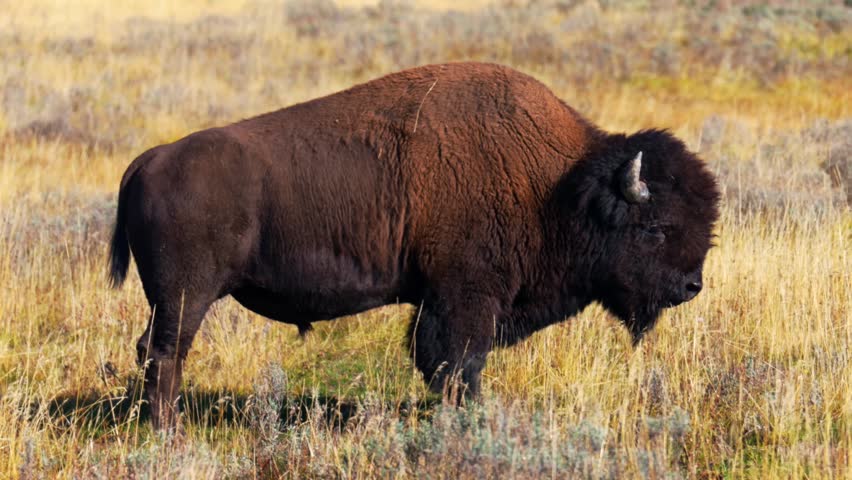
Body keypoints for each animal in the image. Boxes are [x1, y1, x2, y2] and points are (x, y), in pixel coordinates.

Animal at [109, 62, 719, 429]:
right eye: (655, 228)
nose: (692, 286)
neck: (558, 186)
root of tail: (150, 159)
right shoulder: (464, 297)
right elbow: (457, 362)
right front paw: (468, 419)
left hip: (171, 299)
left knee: (153, 351)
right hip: (187, 296)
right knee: (166, 352)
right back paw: (169, 432)